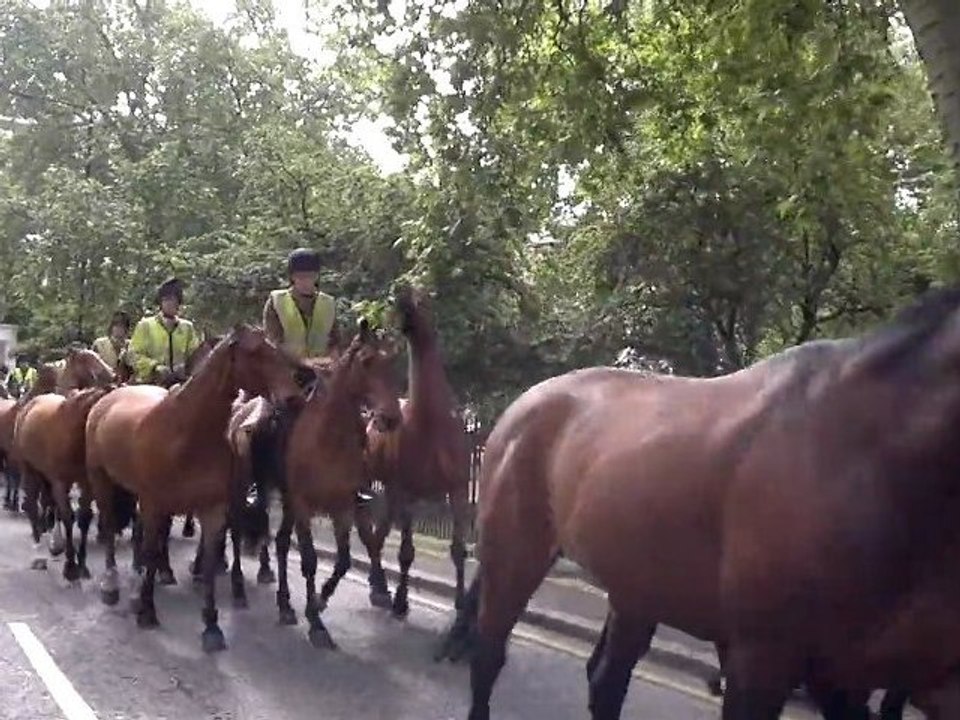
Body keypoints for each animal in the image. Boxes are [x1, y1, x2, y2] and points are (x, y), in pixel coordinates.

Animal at [85, 325, 303, 652]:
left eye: (276, 351)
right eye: (254, 354)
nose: (293, 399)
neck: (186, 434)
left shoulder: (212, 509)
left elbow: (210, 560)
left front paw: (211, 626)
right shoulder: (154, 504)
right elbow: (151, 551)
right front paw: (147, 611)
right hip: (101, 479)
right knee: (111, 526)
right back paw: (112, 584)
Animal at [263, 318, 401, 648]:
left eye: (393, 363)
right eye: (366, 362)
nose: (391, 418)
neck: (328, 440)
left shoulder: (343, 507)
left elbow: (344, 561)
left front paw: (321, 600)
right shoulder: (303, 504)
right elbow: (310, 560)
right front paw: (316, 623)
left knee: (282, 543)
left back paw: (286, 605)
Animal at [365, 285, 471, 620]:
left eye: (424, 299)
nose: (402, 300)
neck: (431, 425)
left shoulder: (458, 488)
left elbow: (458, 549)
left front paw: (461, 605)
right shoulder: (407, 490)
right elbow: (406, 552)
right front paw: (401, 601)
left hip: (389, 489)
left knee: (377, 534)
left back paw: (378, 586)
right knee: (373, 534)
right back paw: (382, 591)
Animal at [436, 287, 960, 720]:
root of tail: (524, 404)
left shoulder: (873, 676)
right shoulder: (762, 657)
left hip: (636, 587)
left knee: (605, 683)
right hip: (517, 553)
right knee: (490, 656)